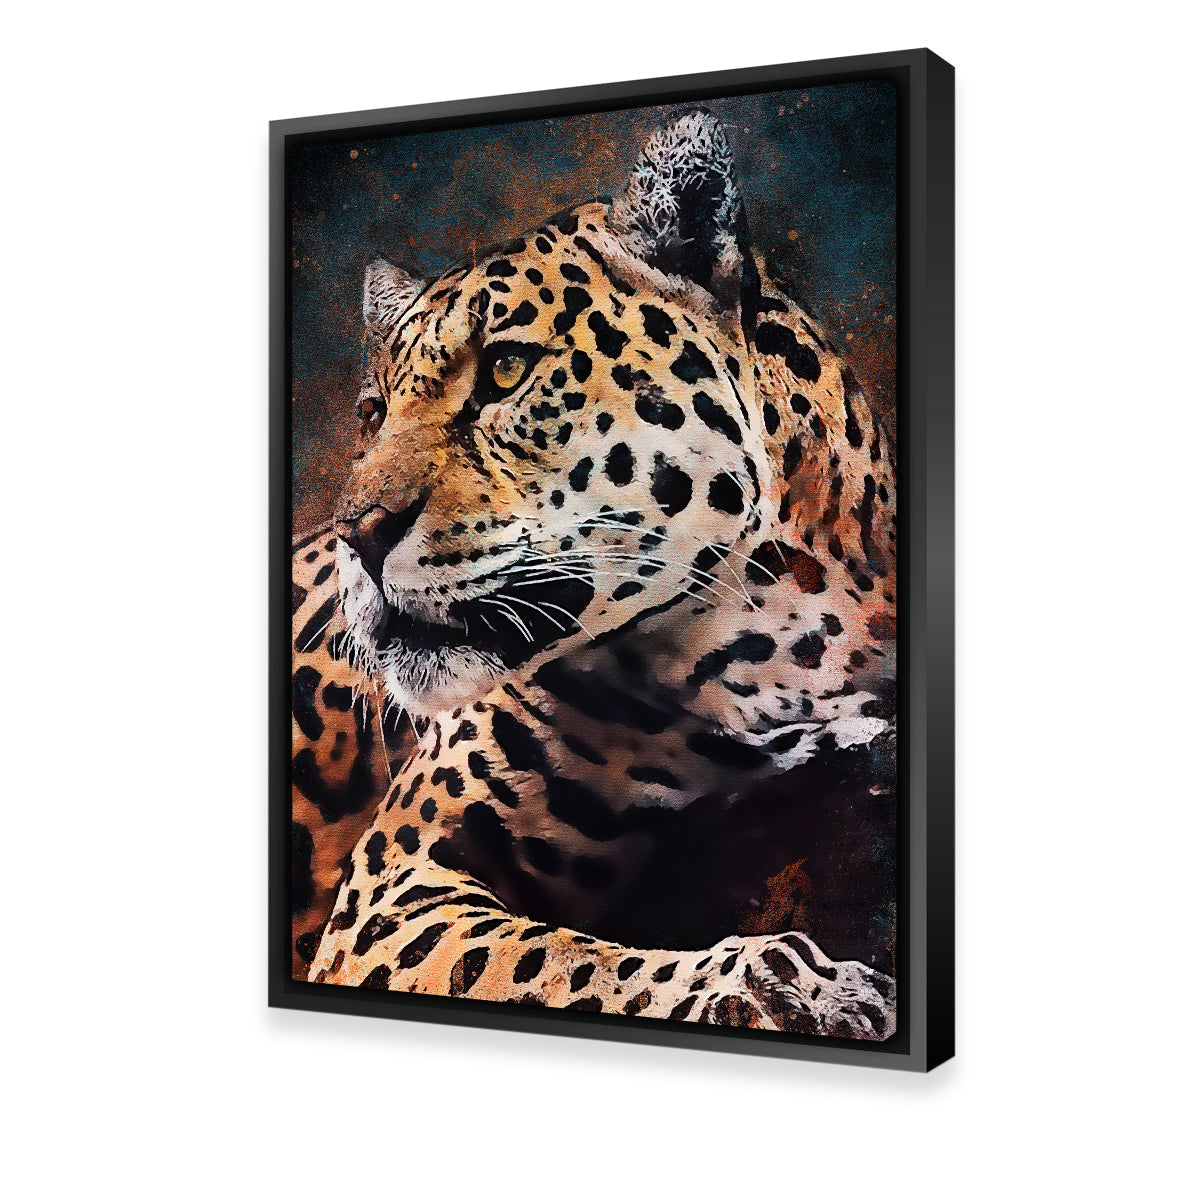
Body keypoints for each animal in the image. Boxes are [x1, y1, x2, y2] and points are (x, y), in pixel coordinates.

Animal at [290, 111, 898, 1038]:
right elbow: (559, 963)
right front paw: (779, 987)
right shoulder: (395, 881)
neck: (776, 656)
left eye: (506, 371)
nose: (358, 535)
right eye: (371, 413)